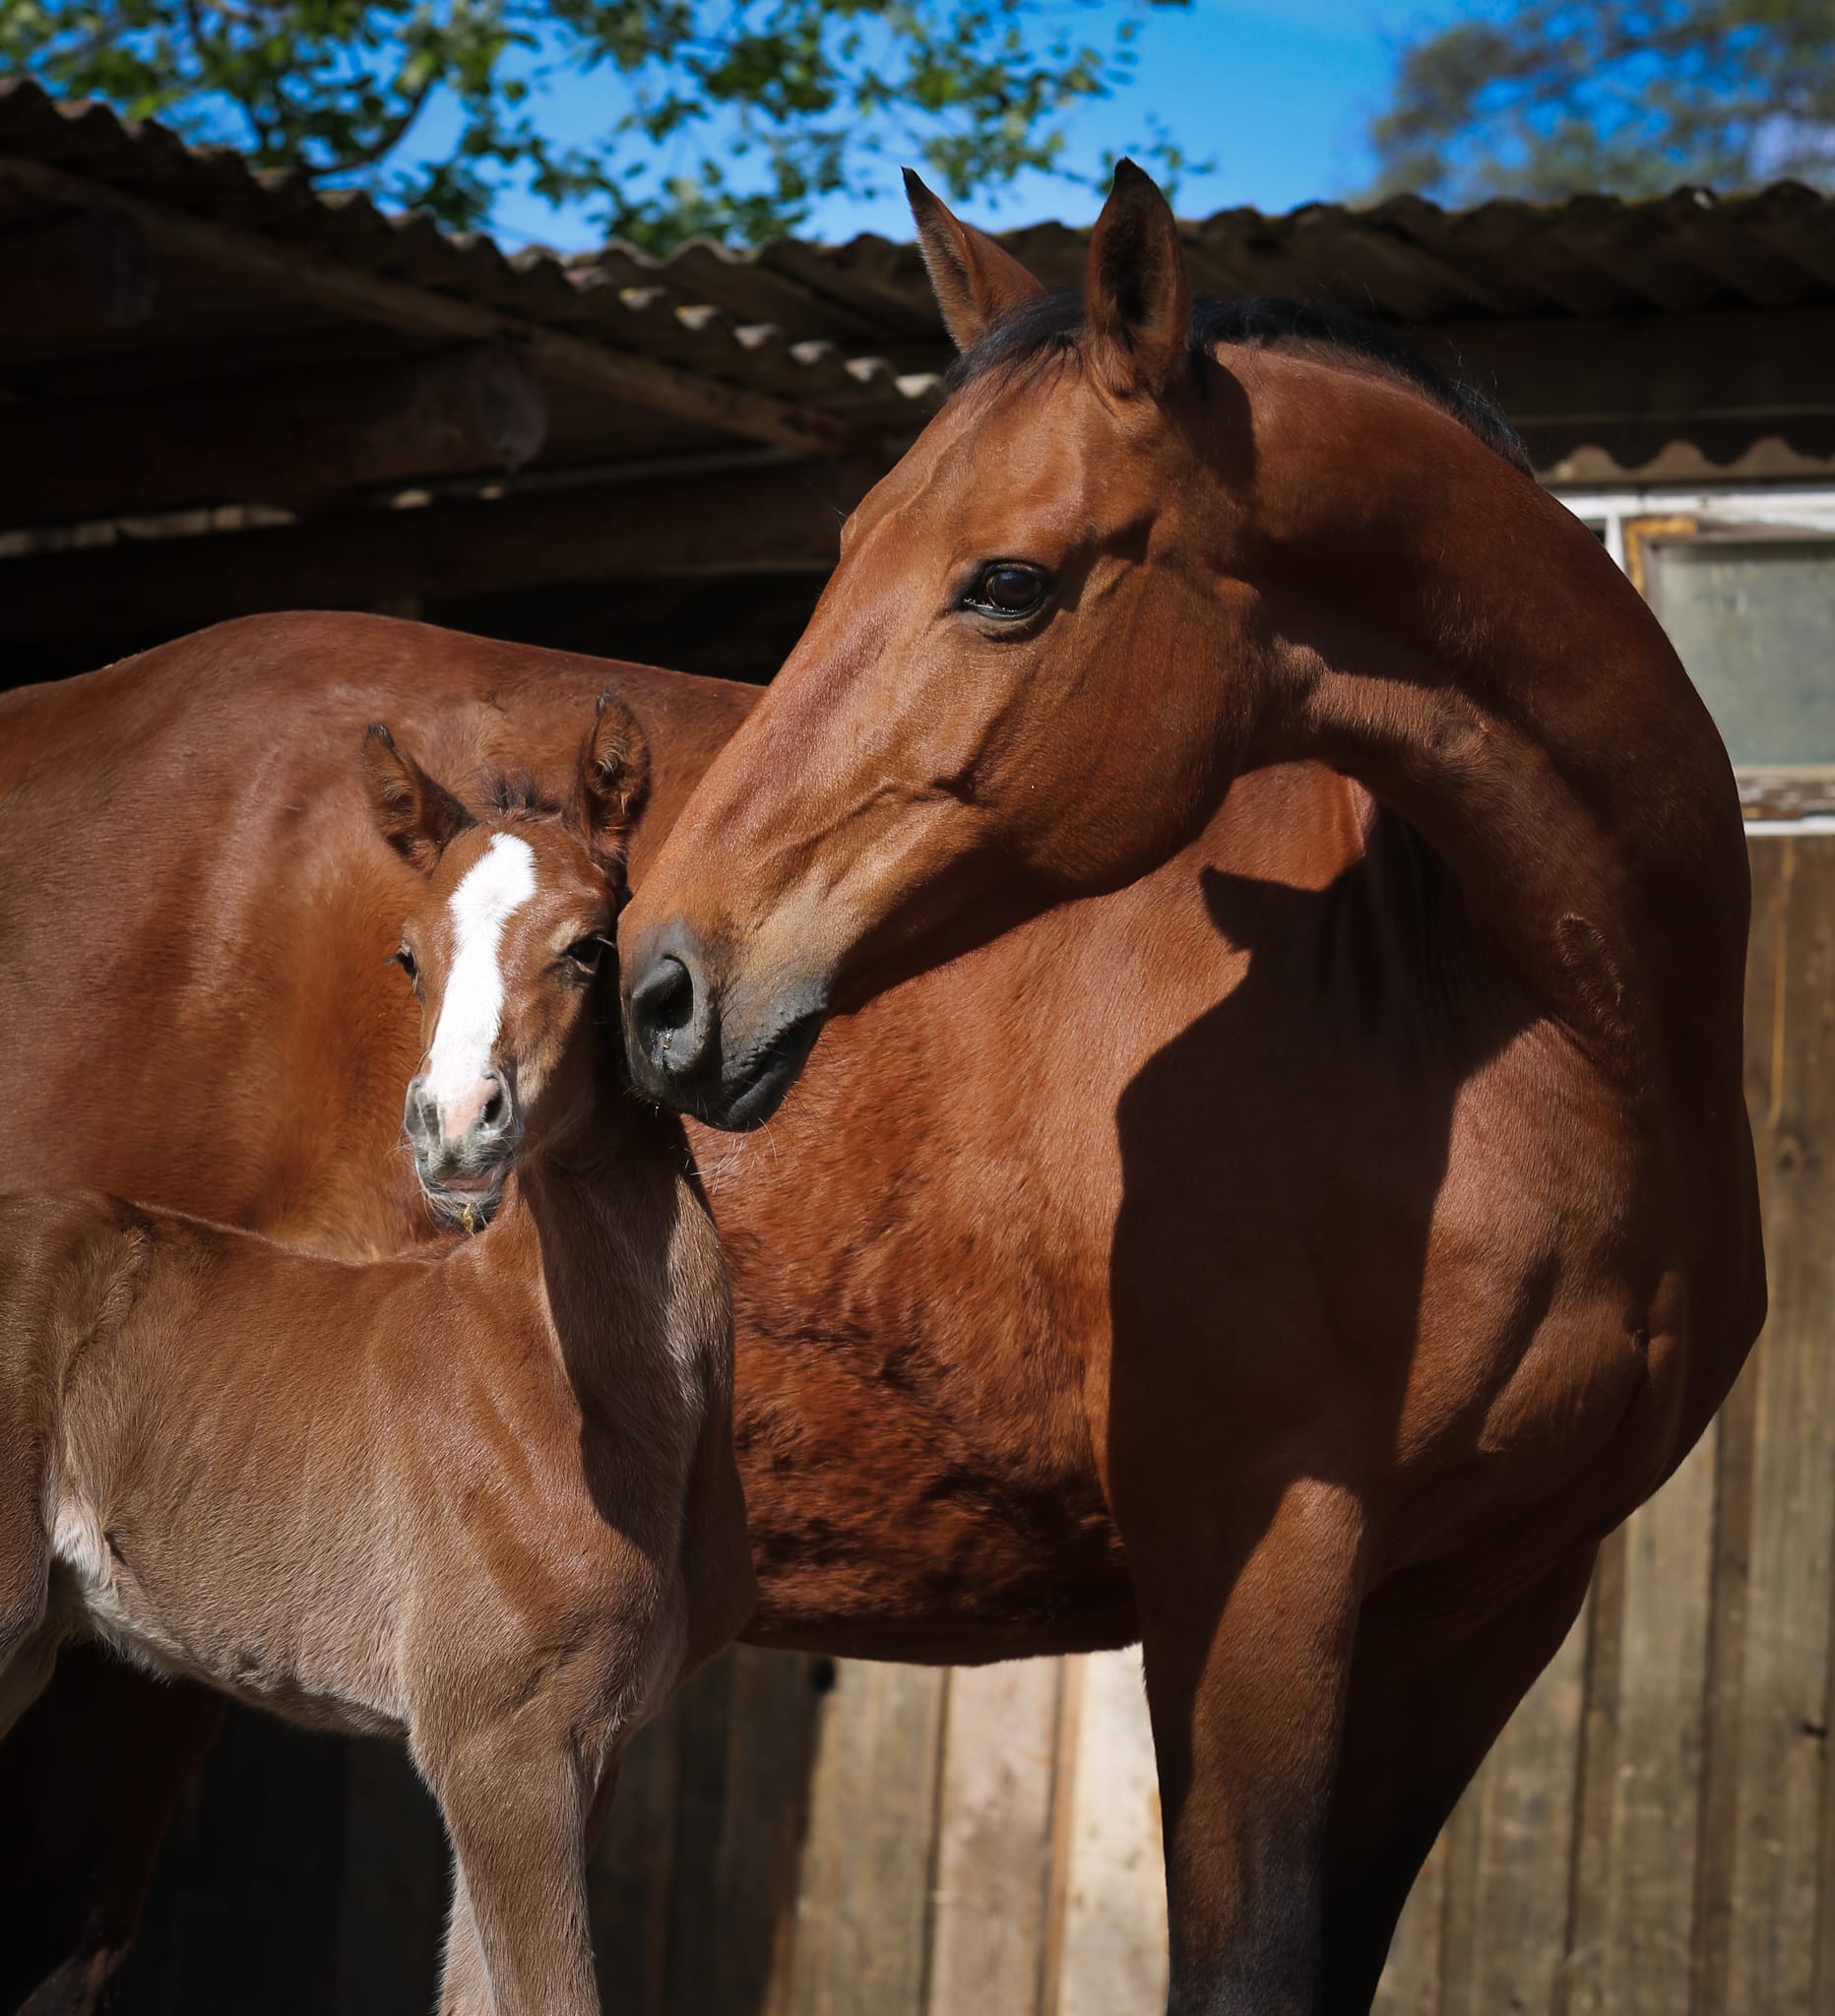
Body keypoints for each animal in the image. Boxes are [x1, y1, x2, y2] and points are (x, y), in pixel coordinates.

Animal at [0, 699, 753, 2016]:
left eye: (589, 946)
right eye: (408, 955)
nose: (452, 1126)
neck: (570, 1387)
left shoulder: (581, 1748)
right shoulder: (497, 1742)